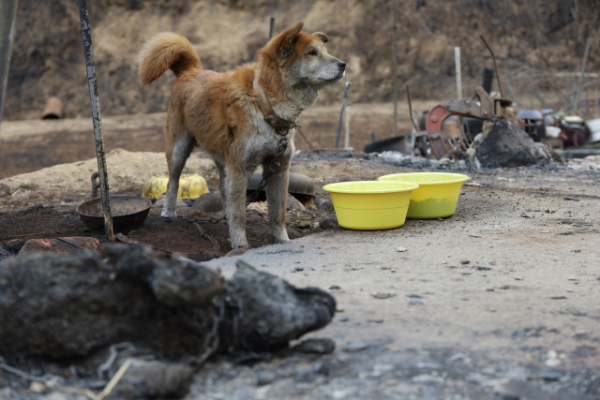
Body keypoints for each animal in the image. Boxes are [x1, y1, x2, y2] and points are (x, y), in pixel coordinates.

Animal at [138, 22, 344, 250]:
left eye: (325, 51)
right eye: (312, 53)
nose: (343, 64)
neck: (265, 103)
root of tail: (190, 71)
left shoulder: (279, 169)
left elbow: (278, 214)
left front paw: (283, 240)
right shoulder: (240, 167)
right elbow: (240, 215)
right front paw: (240, 245)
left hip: (223, 159)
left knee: (223, 189)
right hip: (179, 150)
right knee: (172, 182)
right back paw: (169, 211)